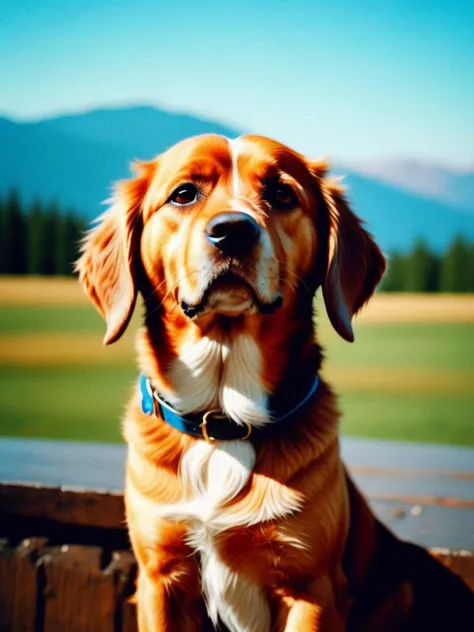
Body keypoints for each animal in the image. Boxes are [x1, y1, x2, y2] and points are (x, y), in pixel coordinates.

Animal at [78, 131, 474, 628]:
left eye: (282, 194)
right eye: (183, 193)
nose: (232, 230)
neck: (223, 417)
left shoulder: (310, 587)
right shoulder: (160, 579)